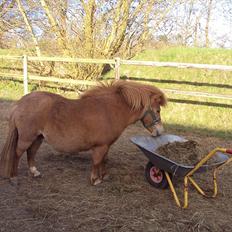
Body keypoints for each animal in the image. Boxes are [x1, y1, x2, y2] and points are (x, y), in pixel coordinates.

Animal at [0, 80, 167, 186]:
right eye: (158, 110)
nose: (160, 131)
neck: (109, 111)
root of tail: (20, 103)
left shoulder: (105, 145)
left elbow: (104, 160)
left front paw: (104, 176)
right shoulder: (100, 146)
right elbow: (97, 161)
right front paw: (95, 180)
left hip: (38, 138)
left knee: (31, 153)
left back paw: (34, 172)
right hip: (26, 138)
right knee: (17, 154)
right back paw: (14, 178)